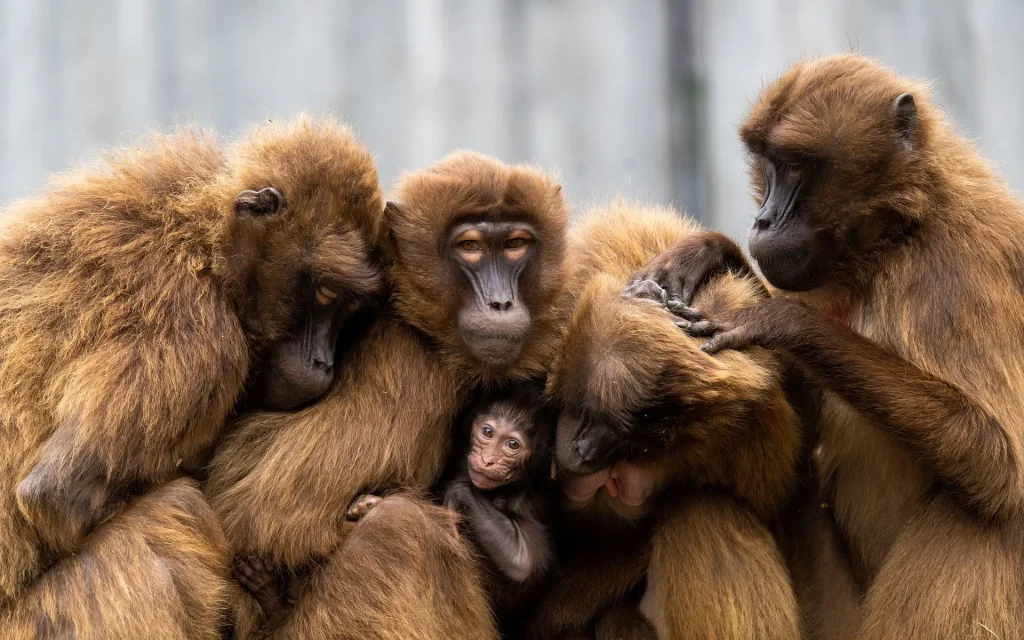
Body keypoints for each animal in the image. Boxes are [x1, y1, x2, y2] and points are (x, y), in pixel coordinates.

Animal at [0, 113, 387, 634]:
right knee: (176, 510)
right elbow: (54, 496)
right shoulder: (199, 339)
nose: (323, 361)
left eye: (349, 308)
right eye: (326, 293)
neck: (203, 243)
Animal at [202, 150, 565, 638]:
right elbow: (262, 517)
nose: (501, 303)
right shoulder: (413, 365)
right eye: (470, 246)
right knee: (398, 526)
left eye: (515, 244)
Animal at [663, 52, 1024, 634]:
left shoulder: (962, 268)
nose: (763, 220)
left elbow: (995, 458)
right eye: (768, 165)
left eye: (794, 167)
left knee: (983, 507)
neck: (900, 233)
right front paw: (711, 252)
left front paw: (780, 321)